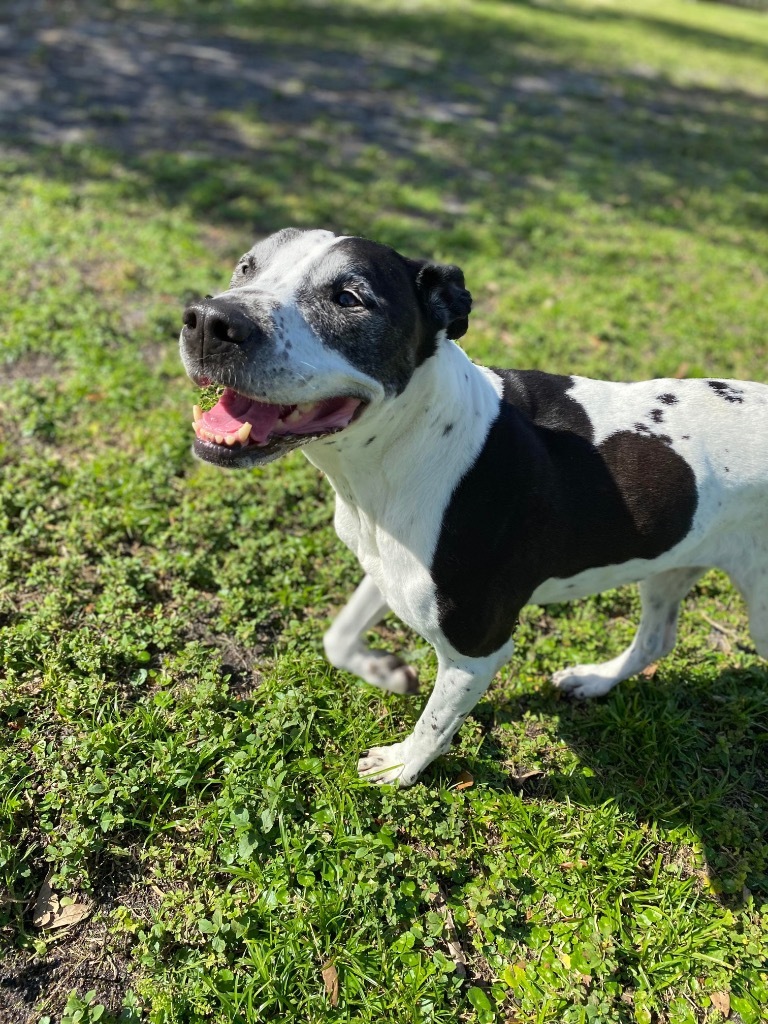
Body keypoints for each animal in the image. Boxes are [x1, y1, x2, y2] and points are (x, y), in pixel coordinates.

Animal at [182, 226, 768, 782]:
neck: (407, 442)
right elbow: (338, 637)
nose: (208, 320)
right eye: (246, 266)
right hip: (673, 565)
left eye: (349, 298)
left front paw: (402, 766)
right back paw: (595, 679)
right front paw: (387, 673)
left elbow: (436, 723)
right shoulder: (387, 565)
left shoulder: (476, 651)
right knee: (655, 642)